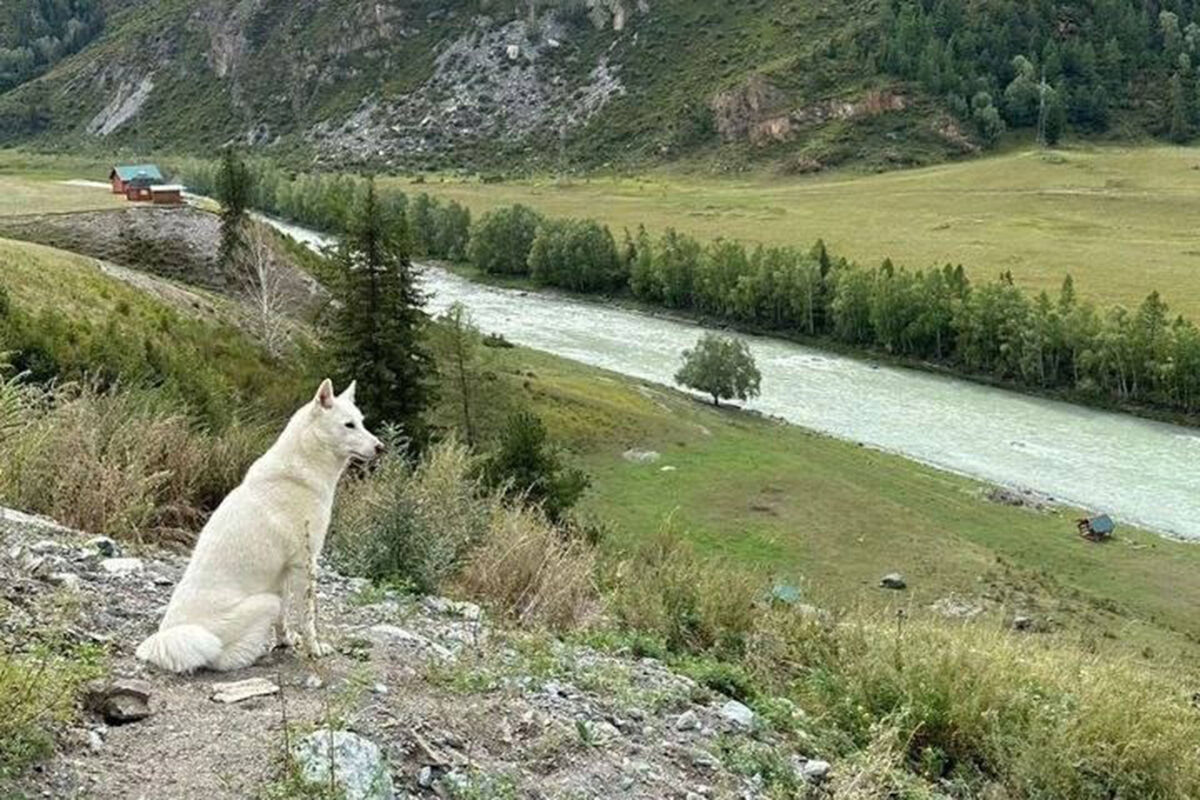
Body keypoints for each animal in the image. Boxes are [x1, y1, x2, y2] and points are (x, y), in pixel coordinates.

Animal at [139, 379, 384, 671]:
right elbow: (308, 616)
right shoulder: (305, 563)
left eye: (362, 422)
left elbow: (285, 618)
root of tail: (167, 636)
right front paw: (314, 649)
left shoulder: (284, 572)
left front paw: (286, 641)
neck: (303, 469)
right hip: (262, 603)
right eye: (349, 425)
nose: (381, 447)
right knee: (220, 657)